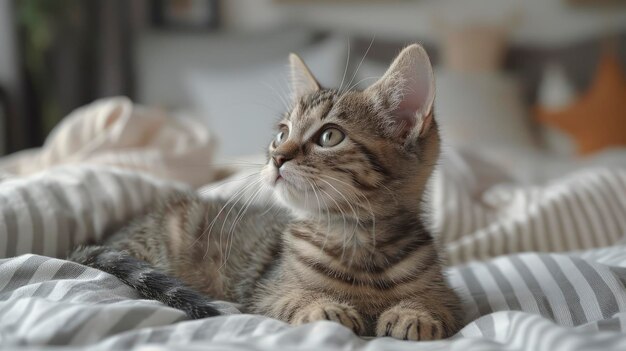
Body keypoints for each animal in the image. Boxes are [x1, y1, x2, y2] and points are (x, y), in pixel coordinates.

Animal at [72, 44, 464, 340]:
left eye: (329, 136)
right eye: (281, 133)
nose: (276, 157)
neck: (357, 239)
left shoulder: (448, 295)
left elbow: (440, 304)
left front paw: (416, 314)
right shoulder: (265, 292)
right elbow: (292, 299)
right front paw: (323, 306)